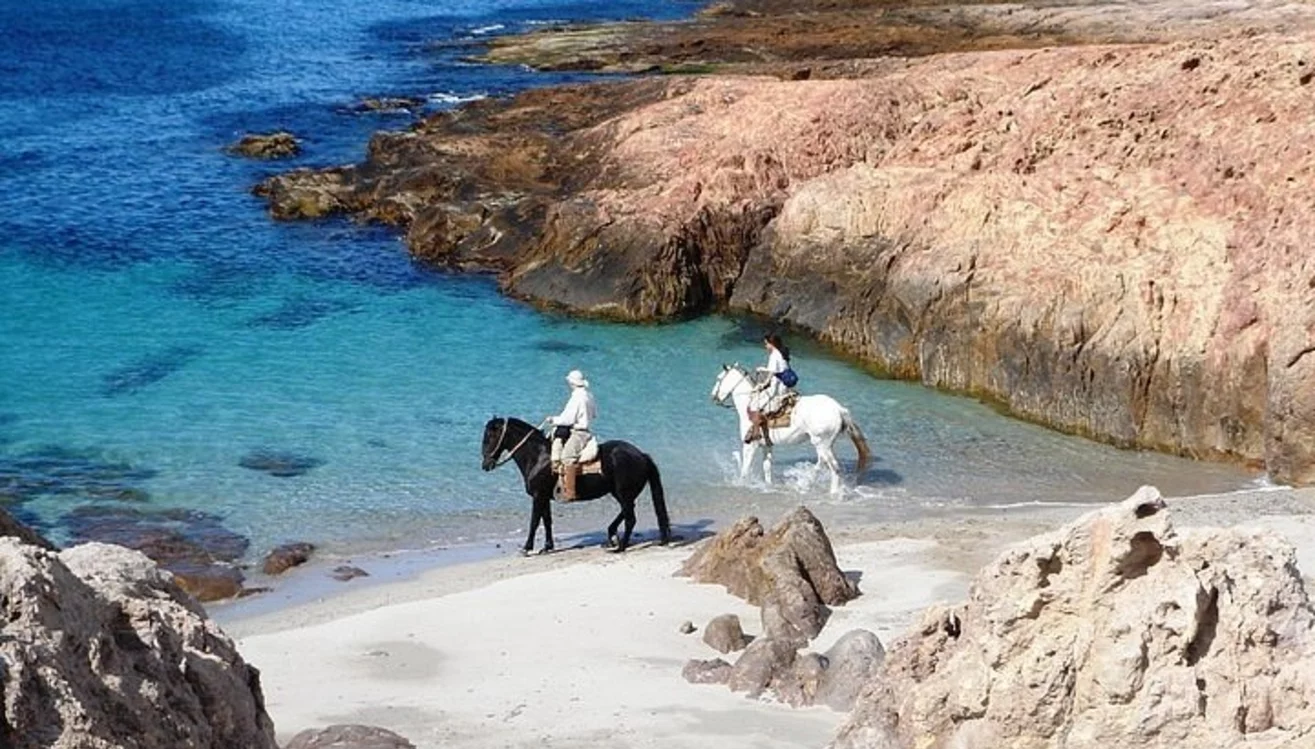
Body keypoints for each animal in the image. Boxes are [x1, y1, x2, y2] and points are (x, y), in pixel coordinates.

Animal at [481, 415, 673, 554]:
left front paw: (527, 548)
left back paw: (620, 547)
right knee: (626, 513)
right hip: (621, 493)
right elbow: (547, 521)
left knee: (630, 518)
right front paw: (547, 547)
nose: (485, 465)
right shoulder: (544, 497)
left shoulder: (538, 496)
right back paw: (611, 535)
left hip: (622, 493)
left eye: (490, 437)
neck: (538, 457)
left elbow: (535, 521)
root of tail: (642, 455)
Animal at [710, 362, 873, 491]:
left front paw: (741, 484)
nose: (713, 397)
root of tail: (839, 409)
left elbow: (745, 469)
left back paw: (832, 492)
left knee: (834, 467)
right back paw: (809, 481)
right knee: (822, 463)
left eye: (718, 379)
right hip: (825, 444)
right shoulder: (766, 445)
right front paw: (769, 485)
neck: (748, 405)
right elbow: (767, 467)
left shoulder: (751, 444)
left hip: (822, 443)